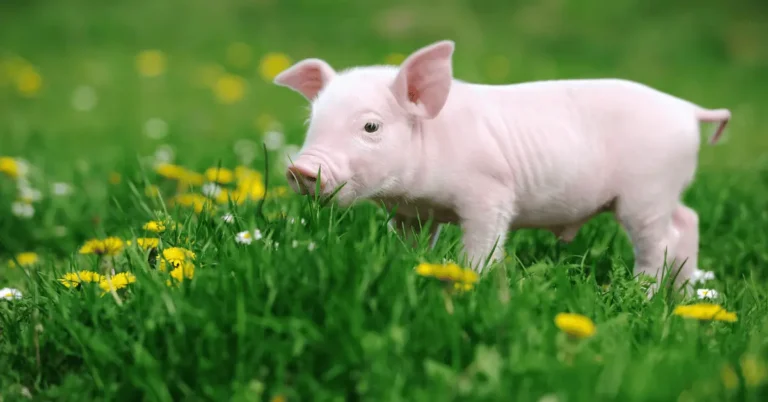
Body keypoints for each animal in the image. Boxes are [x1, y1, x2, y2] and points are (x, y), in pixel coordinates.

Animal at [273, 40, 731, 293]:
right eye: (313, 122)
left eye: (370, 126)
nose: (302, 170)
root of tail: (687, 109)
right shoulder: (412, 212)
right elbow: (413, 244)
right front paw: (411, 266)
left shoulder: (490, 192)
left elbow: (481, 245)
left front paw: (470, 282)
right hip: (665, 192)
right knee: (687, 220)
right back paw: (683, 299)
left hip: (646, 192)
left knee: (661, 242)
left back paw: (641, 296)